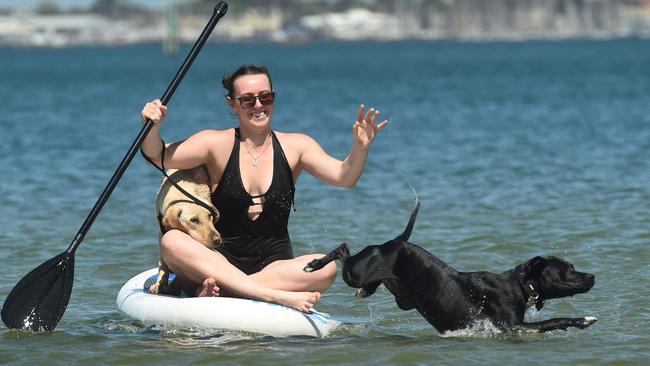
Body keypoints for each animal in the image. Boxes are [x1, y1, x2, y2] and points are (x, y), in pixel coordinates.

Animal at [306, 202, 596, 334]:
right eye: (567, 268)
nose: (592, 276)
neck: (521, 285)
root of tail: (394, 242)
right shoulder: (512, 327)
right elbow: (553, 320)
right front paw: (583, 319)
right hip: (355, 272)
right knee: (343, 249)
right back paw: (314, 264)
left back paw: (365, 290)